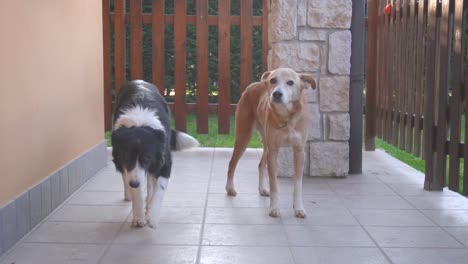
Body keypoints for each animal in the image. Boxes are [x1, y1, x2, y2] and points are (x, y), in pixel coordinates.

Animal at [112, 80, 199, 227]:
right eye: (126, 157)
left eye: (147, 159)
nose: (133, 184)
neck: (140, 123)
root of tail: (138, 80)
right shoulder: (129, 167)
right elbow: (136, 189)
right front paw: (139, 217)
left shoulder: (164, 161)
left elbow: (159, 189)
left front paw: (152, 216)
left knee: (151, 183)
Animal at [226, 67, 316, 218]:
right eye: (273, 80)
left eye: (290, 82)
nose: (277, 94)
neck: (287, 118)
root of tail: (254, 84)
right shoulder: (274, 151)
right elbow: (274, 184)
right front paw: (274, 208)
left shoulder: (299, 151)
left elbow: (298, 185)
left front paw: (298, 208)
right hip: (244, 136)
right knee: (232, 163)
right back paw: (230, 188)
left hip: (266, 144)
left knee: (260, 164)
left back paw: (262, 189)